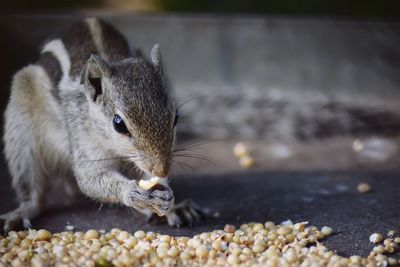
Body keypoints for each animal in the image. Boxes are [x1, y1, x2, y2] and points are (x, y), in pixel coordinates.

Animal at [0, 17, 203, 233]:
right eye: (118, 124)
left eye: (176, 117)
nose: (161, 170)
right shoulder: (84, 136)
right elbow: (90, 177)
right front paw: (132, 192)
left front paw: (171, 203)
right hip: (21, 123)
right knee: (32, 192)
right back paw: (22, 212)